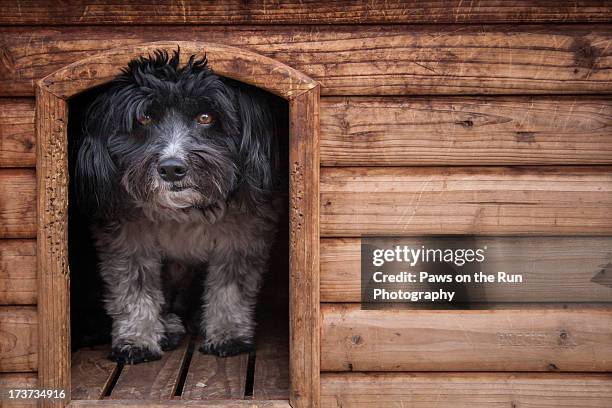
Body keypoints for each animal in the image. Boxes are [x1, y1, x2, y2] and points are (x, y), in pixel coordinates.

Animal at [74, 49, 282, 364]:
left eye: (206, 116)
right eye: (145, 117)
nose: (172, 168)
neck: (184, 212)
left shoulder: (243, 236)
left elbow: (230, 289)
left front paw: (228, 334)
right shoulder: (127, 240)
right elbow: (134, 289)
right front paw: (137, 340)